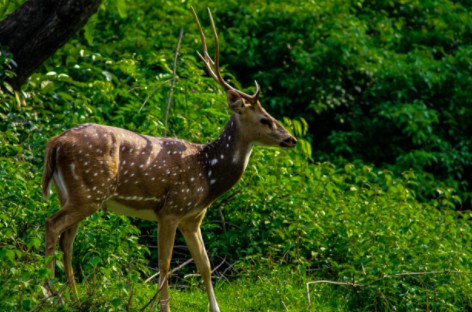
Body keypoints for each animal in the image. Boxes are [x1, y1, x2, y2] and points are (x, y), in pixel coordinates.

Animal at [43, 7, 296, 312]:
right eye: (265, 119)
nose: (291, 139)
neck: (208, 174)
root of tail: (55, 143)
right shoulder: (172, 208)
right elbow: (165, 264)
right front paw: (163, 307)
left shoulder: (193, 217)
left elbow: (205, 266)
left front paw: (215, 307)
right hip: (89, 191)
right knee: (52, 226)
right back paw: (49, 293)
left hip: (69, 192)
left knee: (67, 239)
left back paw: (74, 296)